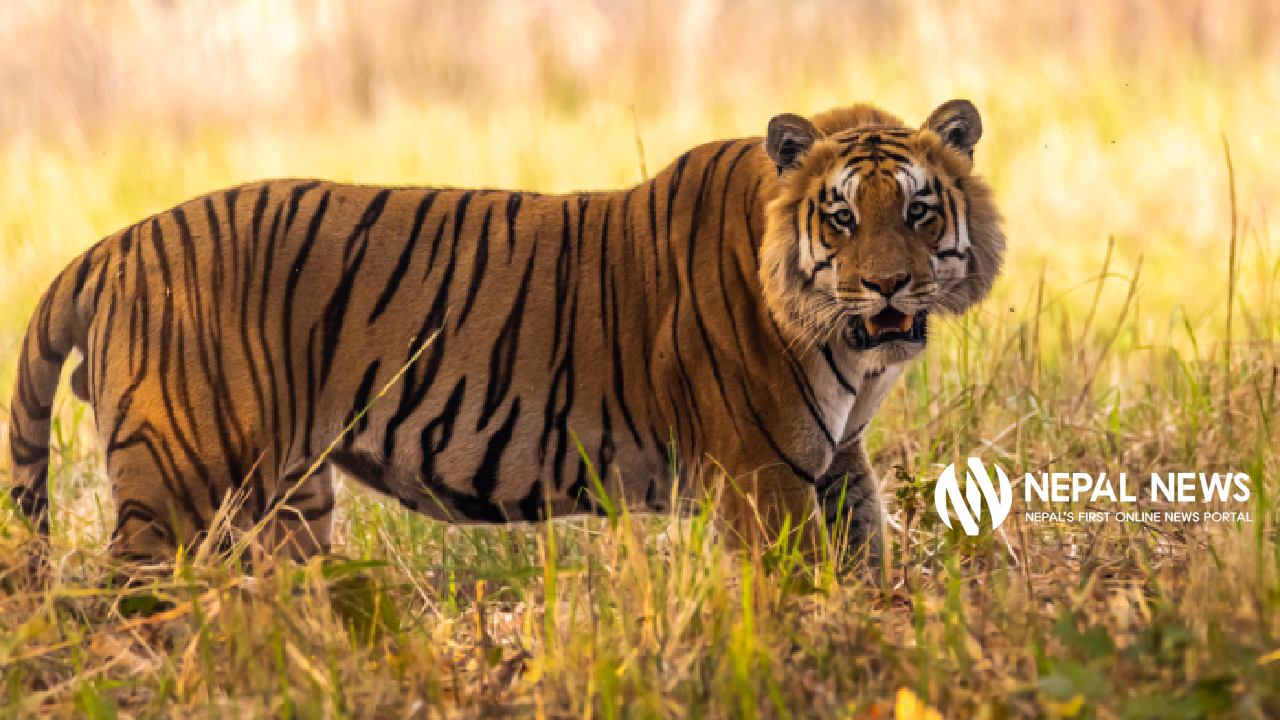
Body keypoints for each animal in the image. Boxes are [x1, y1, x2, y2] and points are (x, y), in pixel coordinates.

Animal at [6, 99, 1003, 565]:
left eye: (918, 211)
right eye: (840, 218)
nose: (888, 284)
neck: (851, 353)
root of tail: (112, 244)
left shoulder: (833, 463)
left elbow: (867, 557)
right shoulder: (764, 479)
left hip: (288, 501)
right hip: (175, 484)